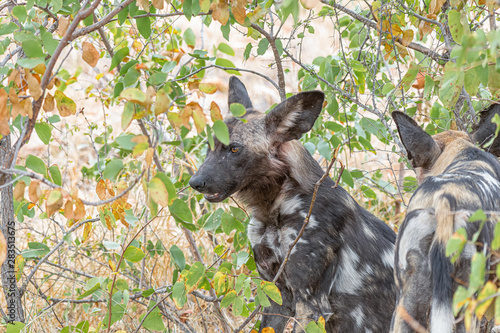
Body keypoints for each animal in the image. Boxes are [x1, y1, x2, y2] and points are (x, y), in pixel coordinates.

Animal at [189, 77, 396, 332]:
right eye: (209, 146)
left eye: (234, 148)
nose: (195, 182)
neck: (271, 210)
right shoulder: (276, 297)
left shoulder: (310, 302)